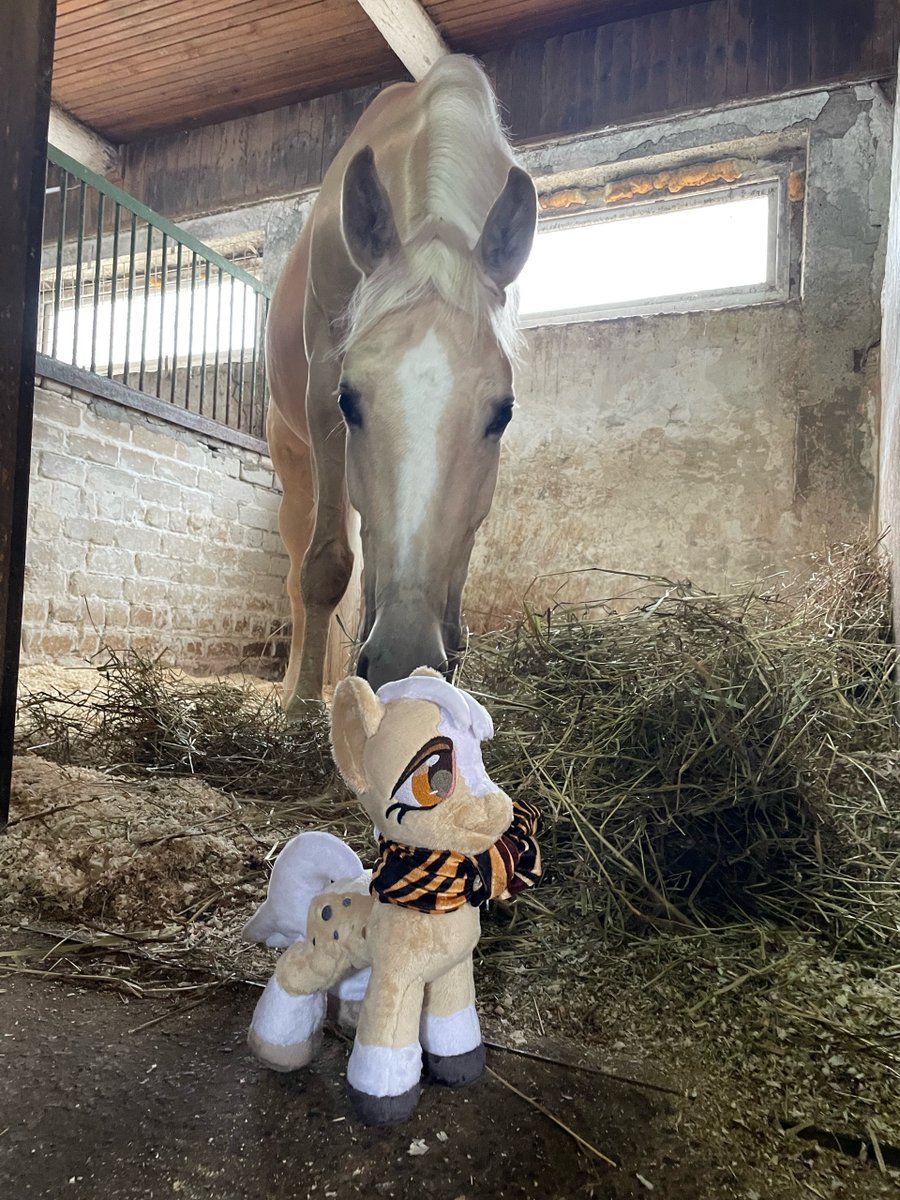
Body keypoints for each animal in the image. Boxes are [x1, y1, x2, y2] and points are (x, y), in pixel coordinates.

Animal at [265, 54, 537, 709]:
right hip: (295, 465)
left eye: (502, 414)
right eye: (348, 401)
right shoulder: (323, 395)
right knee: (300, 572)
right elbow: (325, 568)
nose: (400, 661)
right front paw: (301, 710)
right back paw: (294, 690)